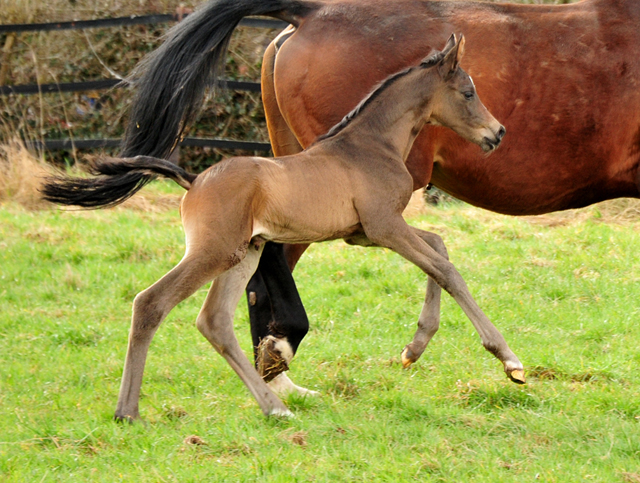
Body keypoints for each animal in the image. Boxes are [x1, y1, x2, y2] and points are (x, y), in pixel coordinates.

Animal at [42, 36, 524, 420]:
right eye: (468, 92)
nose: (498, 133)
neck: (372, 144)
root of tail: (193, 180)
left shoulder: (365, 233)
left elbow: (438, 248)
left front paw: (414, 348)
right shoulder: (385, 227)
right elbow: (446, 269)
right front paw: (509, 360)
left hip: (245, 252)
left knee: (214, 321)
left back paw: (275, 408)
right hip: (213, 252)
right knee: (150, 303)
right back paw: (128, 412)